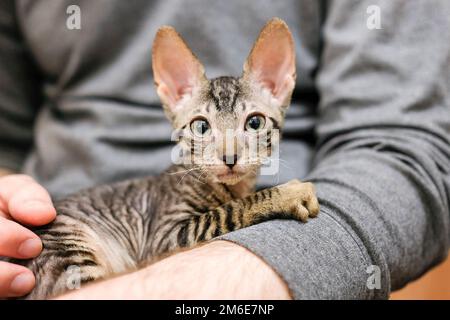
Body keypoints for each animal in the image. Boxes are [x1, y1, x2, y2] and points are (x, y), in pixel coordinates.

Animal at [11, 17, 320, 298]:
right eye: (201, 127)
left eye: (254, 123)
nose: (229, 157)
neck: (233, 188)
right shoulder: (164, 236)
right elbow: (230, 210)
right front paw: (288, 193)